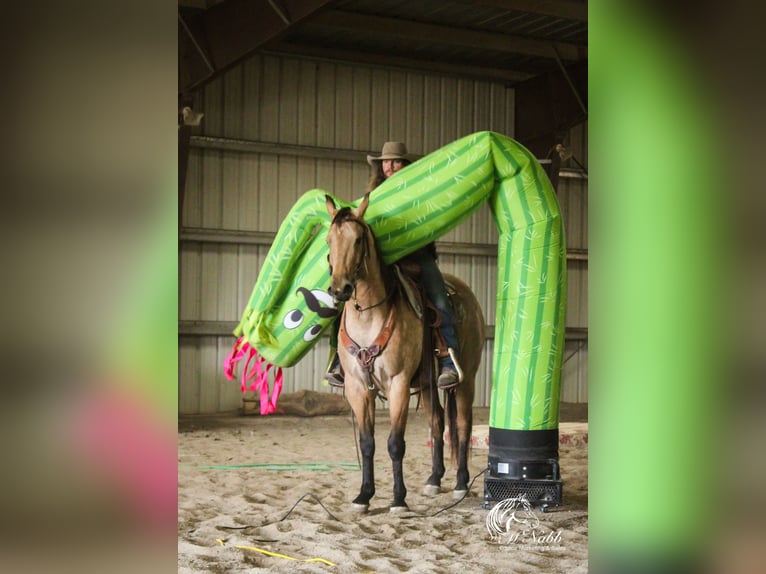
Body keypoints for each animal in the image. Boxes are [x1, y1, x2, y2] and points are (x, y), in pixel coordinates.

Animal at [324, 194, 486, 512]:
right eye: (328, 241)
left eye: (358, 240)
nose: (340, 290)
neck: (368, 315)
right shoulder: (357, 387)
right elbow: (367, 443)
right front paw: (364, 496)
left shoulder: (397, 384)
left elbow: (395, 444)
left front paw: (398, 499)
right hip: (426, 383)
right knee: (437, 422)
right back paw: (434, 480)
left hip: (467, 380)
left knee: (462, 426)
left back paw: (461, 484)